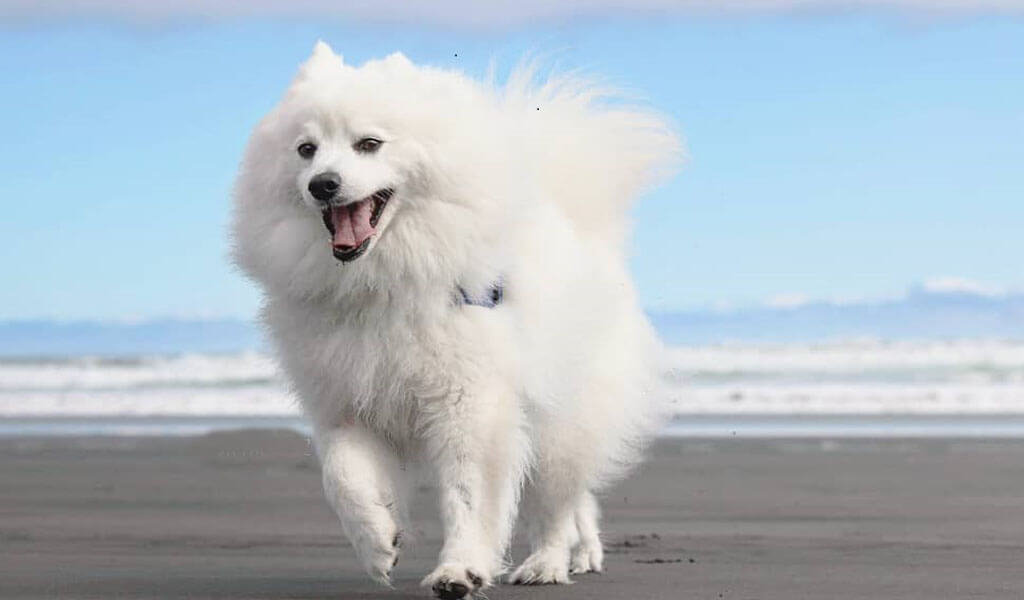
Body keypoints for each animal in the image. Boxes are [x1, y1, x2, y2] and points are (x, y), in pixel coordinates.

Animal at [233, 43, 679, 597]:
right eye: (306, 150)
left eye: (368, 144)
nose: (323, 185)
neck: (382, 285)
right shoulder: (344, 402)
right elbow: (341, 479)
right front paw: (377, 540)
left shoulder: (469, 404)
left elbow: (468, 497)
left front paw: (460, 570)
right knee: (577, 501)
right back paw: (582, 553)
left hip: (560, 424)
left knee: (556, 503)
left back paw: (549, 563)